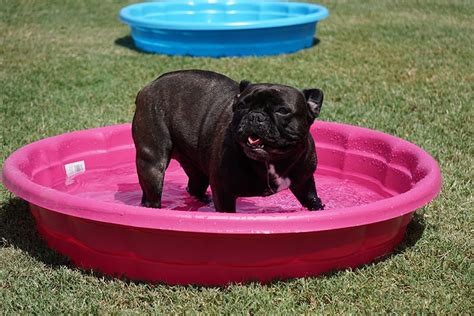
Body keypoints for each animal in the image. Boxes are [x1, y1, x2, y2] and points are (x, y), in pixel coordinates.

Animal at [133, 69, 326, 212]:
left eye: (282, 110)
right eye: (242, 106)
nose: (255, 116)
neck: (271, 160)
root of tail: (148, 87)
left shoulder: (304, 181)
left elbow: (311, 198)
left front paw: (318, 208)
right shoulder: (224, 191)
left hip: (196, 165)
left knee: (195, 184)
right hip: (152, 162)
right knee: (153, 192)